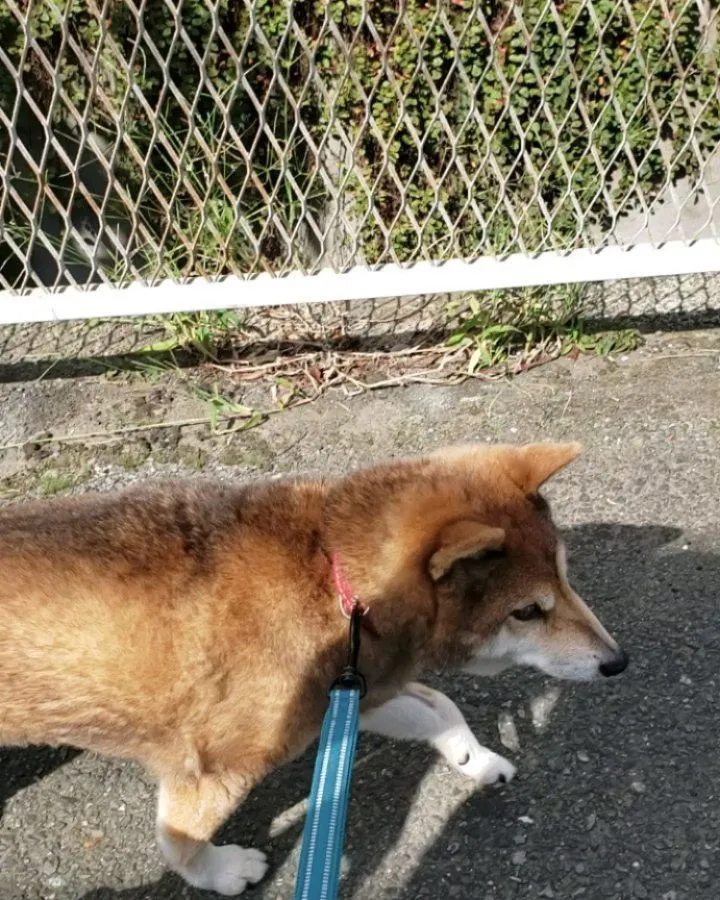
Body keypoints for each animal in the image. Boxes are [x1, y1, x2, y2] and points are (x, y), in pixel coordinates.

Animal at [0, 442, 624, 892]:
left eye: (565, 577)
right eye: (527, 612)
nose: (618, 662)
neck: (338, 587)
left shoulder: (349, 692)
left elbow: (440, 709)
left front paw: (476, 759)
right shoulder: (216, 770)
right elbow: (179, 842)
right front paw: (221, 873)